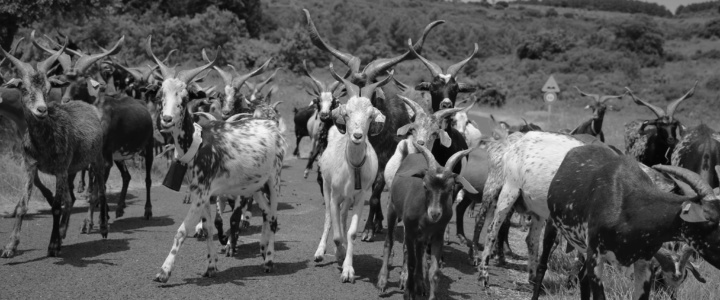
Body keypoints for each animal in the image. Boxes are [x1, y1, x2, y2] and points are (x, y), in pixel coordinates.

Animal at [0, 37, 109, 258]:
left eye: (48, 89)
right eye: (24, 88)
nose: (41, 109)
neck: (44, 142)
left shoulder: (59, 168)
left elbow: (57, 206)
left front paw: (52, 246)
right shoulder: (30, 165)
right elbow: (24, 205)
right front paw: (10, 247)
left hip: (96, 158)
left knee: (100, 190)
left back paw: (102, 228)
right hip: (71, 169)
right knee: (71, 198)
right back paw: (62, 233)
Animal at [310, 64, 388, 282]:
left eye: (370, 116)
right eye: (347, 114)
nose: (357, 136)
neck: (353, 166)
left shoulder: (360, 196)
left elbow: (351, 232)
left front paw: (348, 269)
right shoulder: (335, 194)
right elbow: (335, 231)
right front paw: (338, 255)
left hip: (349, 196)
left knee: (343, 215)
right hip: (327, 187)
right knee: (330, 217)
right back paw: (320, 252)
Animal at [376, 142, 478, 298]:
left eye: (450, 188)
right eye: (425, 185)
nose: (434, 213)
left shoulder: (437, 234)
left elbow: (433, 272)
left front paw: (427, 292)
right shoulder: (410, 230)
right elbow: (411, 262)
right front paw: (408, 292)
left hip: (422, 235)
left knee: (420, 253)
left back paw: (420, 284)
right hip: (391, 209)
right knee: (389, 242)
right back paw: (383, 282)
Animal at [528, 145, 720, 300]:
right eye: (710, 220)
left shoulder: (644, 263)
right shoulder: (596, 255)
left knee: (582, 279)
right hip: (552, 225)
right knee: (542, 266)